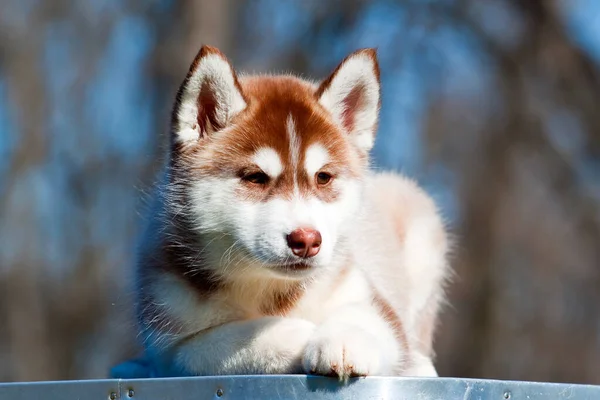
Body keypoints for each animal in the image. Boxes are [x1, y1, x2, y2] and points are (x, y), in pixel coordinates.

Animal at [135, 45, 446, 380]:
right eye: (255, 177)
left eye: (323, 177)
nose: (307, 240)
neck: (267, 288)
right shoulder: (175, 345)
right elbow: (246, 337)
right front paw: (305, 333)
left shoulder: (368, 296)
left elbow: (369, 320)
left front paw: (344, 340)